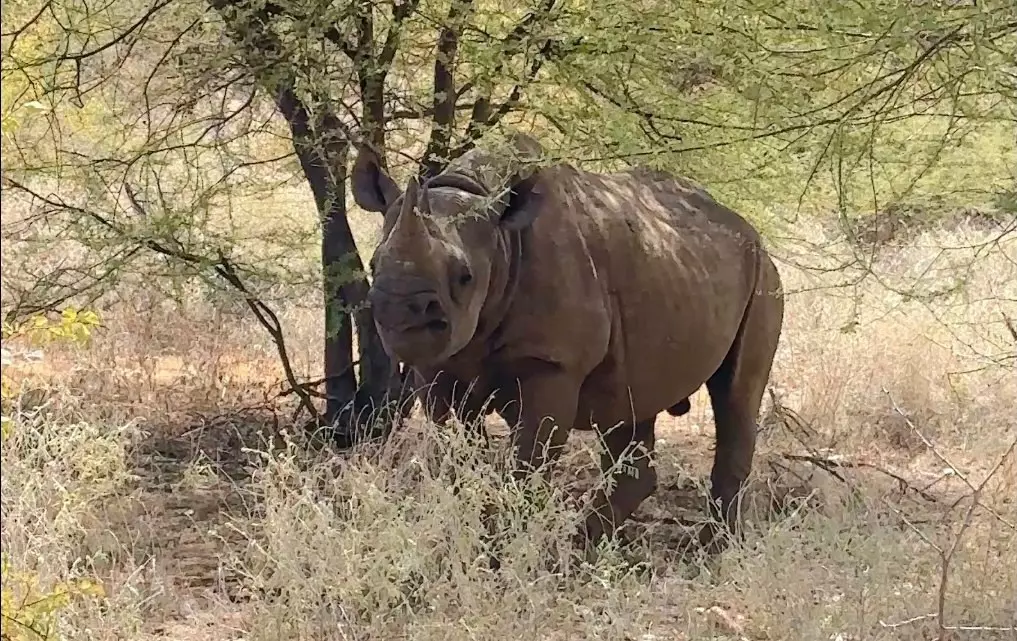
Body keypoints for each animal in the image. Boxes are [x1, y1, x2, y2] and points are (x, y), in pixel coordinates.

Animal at [352, 132, 784, 552]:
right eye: (373, 264)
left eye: (465, 276)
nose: (401, 314)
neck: (500, 237)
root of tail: (750, 231)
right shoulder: (440, 366)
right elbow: (456, 453)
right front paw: (466, 536)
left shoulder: (552, 364)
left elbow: (528, 464)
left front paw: (503, 554)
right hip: (671, 274)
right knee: (632, 405)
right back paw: (584, 552)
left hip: (764, 277)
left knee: (735, 396)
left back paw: (712, 551)